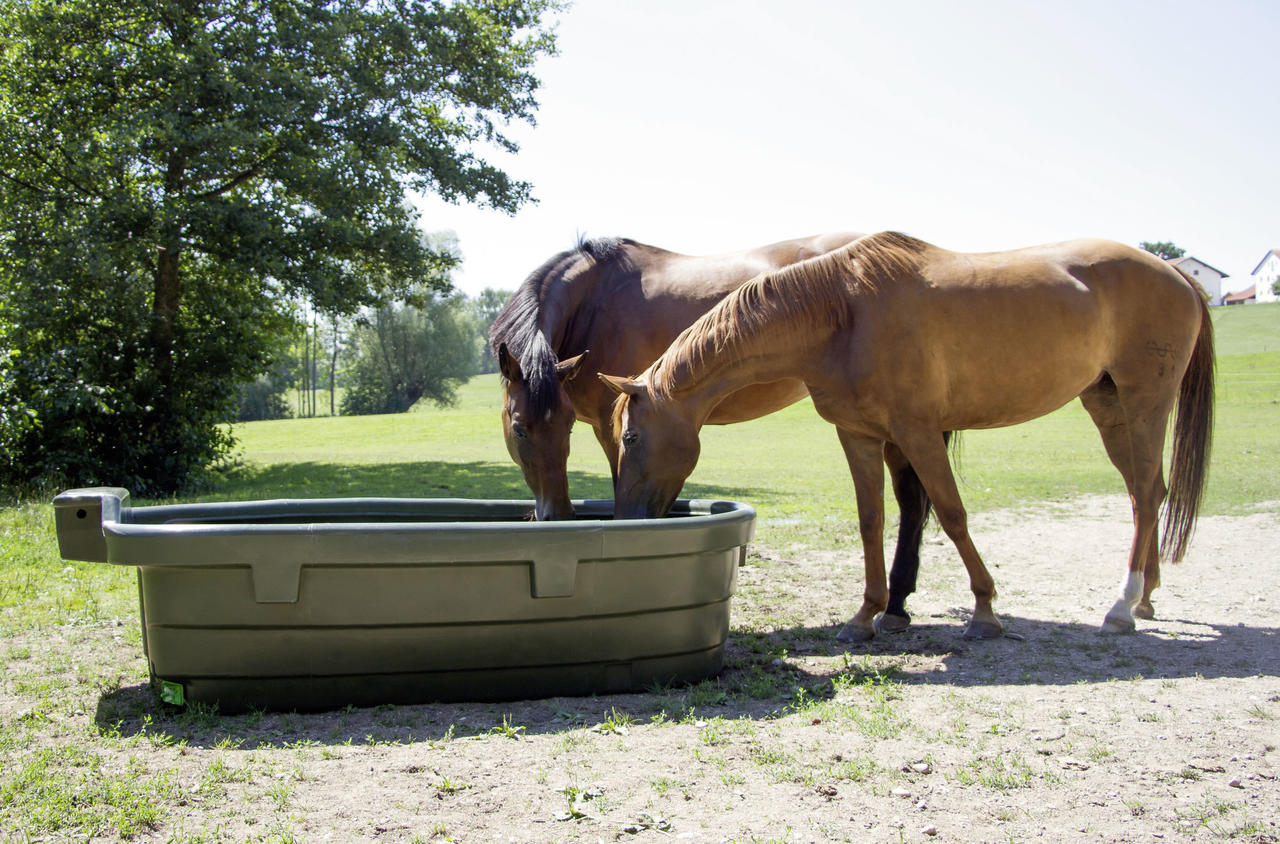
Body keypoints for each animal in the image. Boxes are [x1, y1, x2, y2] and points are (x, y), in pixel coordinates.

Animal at [604, 230, 1213, 640]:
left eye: (630, 440)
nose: (628, 520)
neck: (842, 314)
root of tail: (1177, 274)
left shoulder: (918, 432)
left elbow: (951, 513)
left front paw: (984, 611)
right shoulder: (858, 435)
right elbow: (871, 520)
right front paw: (866, 614)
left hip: (1145, 402)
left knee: (1143, 496)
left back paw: (1121, 607)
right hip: (1108, 406)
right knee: (1147, 494)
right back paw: (1145, 599)